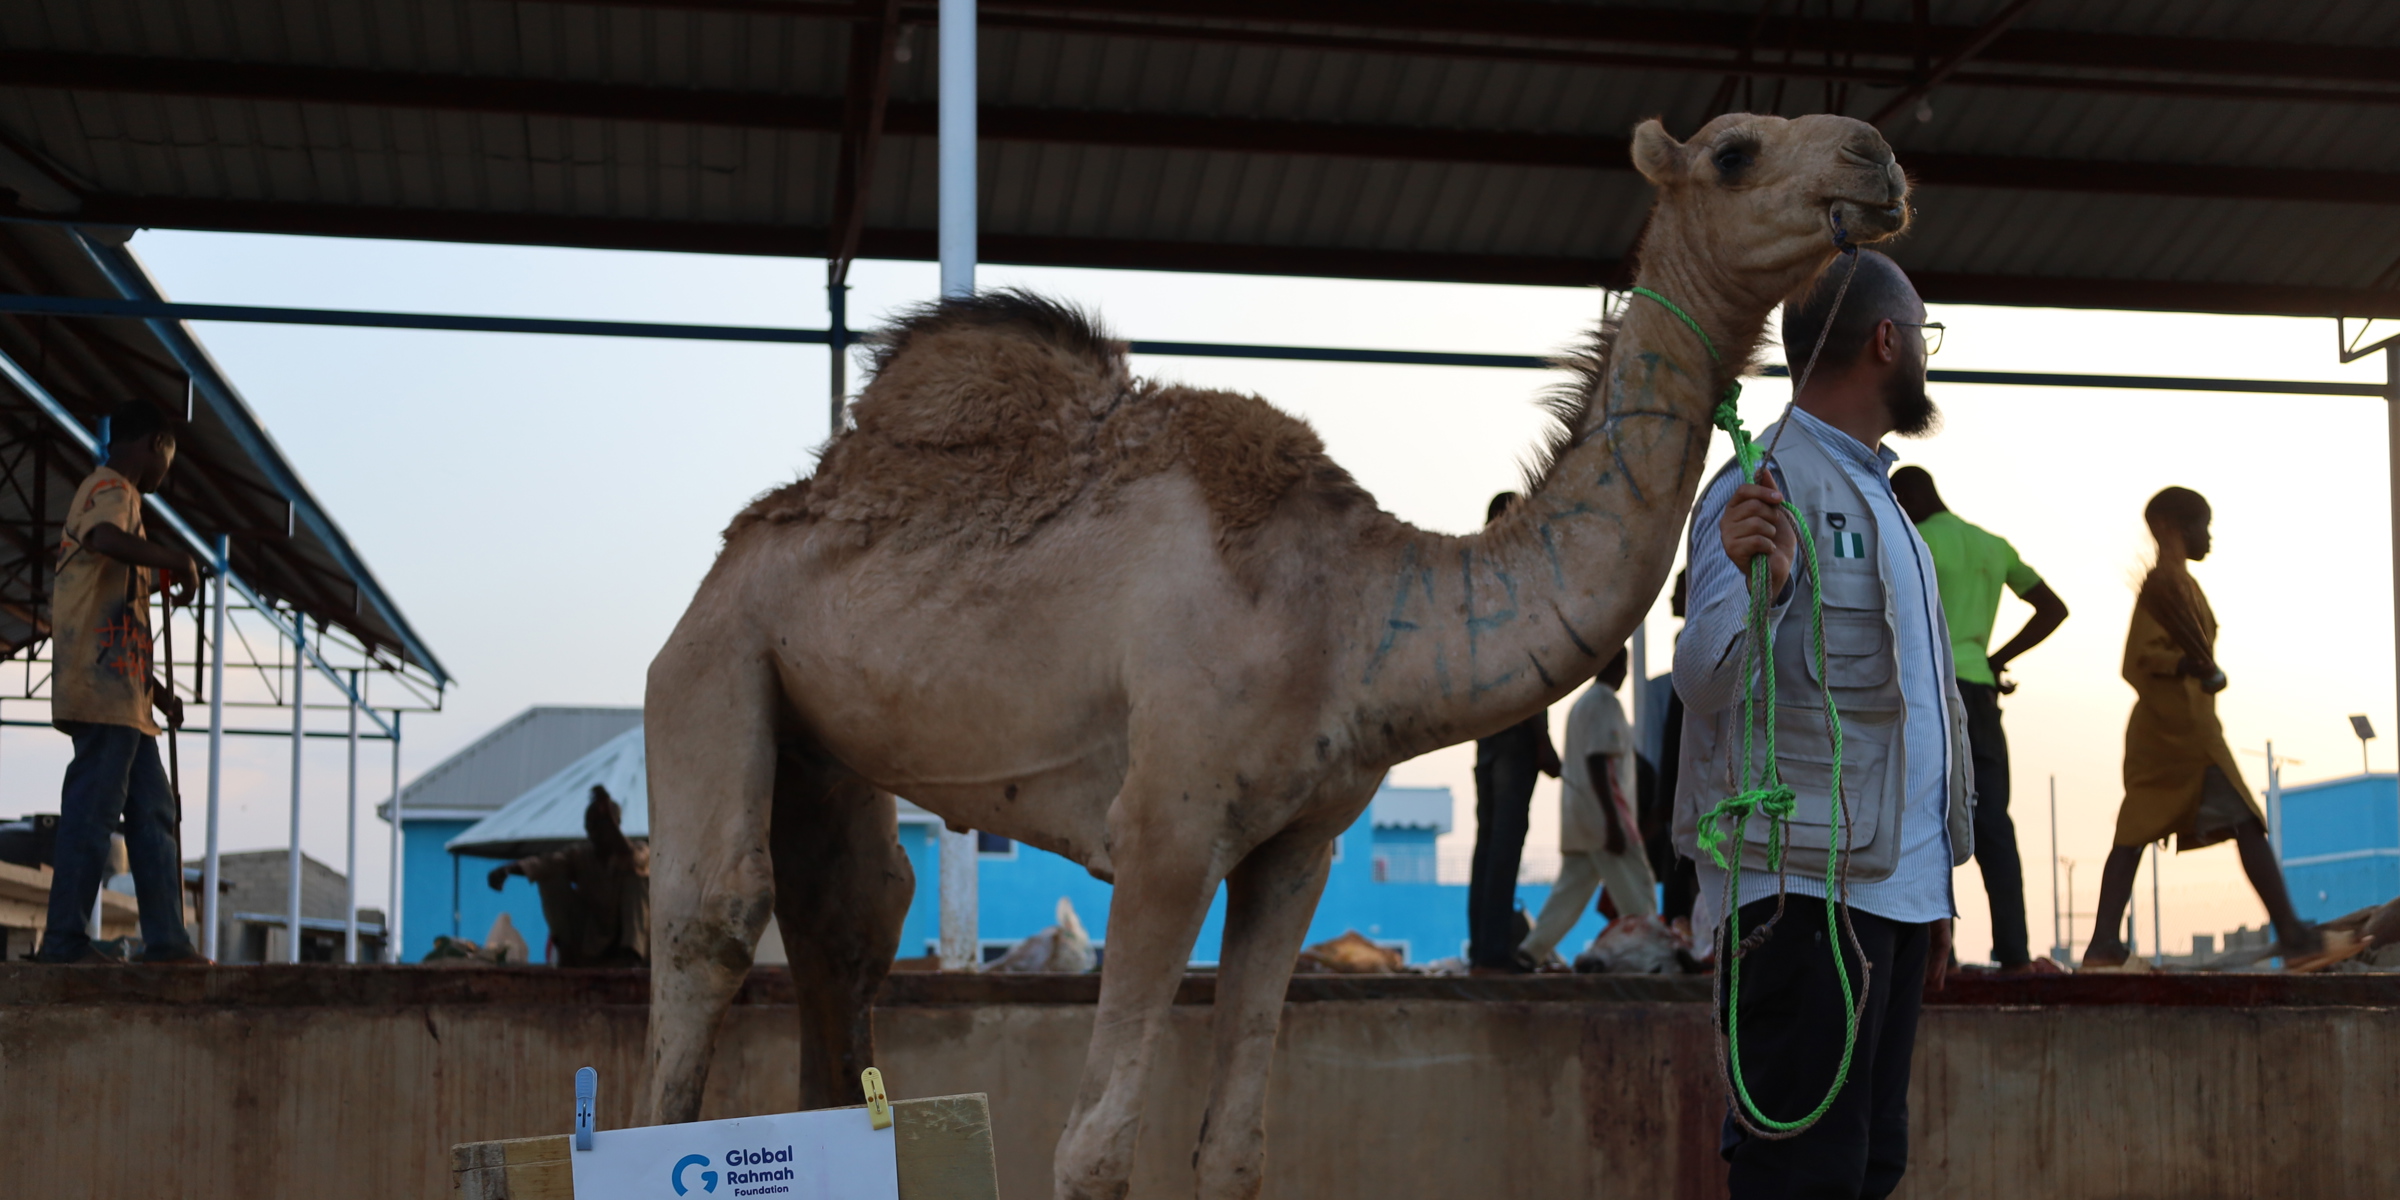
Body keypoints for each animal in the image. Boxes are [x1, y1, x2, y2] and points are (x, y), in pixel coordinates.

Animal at [641, 111, 1910, 1199]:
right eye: (1736, 149)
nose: (1879, 158)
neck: (1352, 612)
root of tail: (755, 528)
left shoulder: (1298, 846)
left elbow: (1235, 1147)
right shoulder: (1164, 831)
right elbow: (1094, 1150)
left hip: (823, 741)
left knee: (850, 922)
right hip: (712, 662)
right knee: (715, 921)